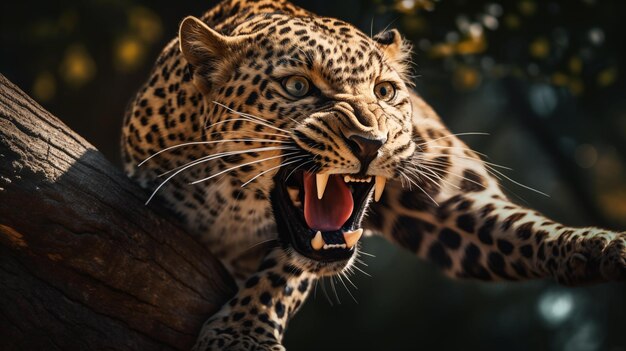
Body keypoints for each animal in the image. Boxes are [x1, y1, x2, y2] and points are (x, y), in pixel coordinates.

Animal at [119, 1, 620, 350]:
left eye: (385, 91)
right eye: (297, 86)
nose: (371, 143)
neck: (233, 206)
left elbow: (284, 274)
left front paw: (244, 332)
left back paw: (600, 248)